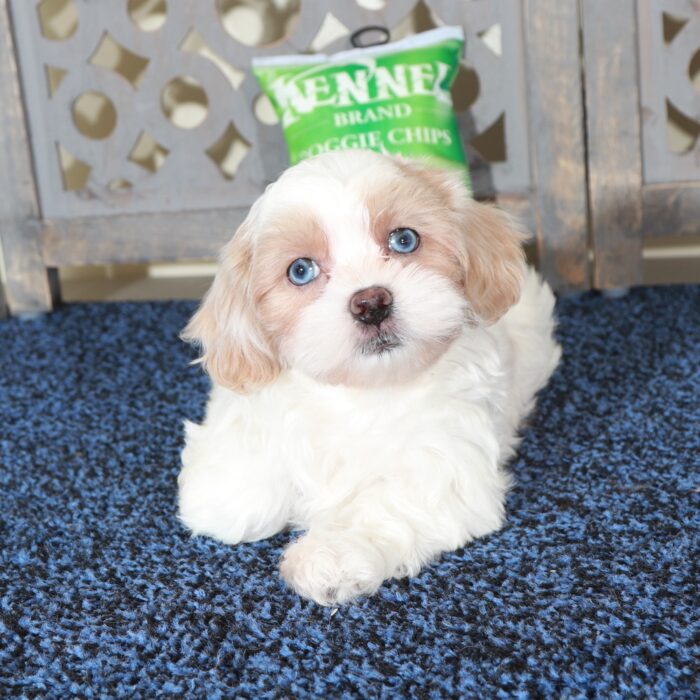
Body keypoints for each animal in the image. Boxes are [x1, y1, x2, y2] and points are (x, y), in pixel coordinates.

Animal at [178, 149, 560, 608]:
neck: (363, 392)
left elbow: (386, 505)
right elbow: (237, 487)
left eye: (404, 240)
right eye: (301, 270)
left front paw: (330, 556)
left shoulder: (444, 461)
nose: (371, 303)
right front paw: (228, 491)